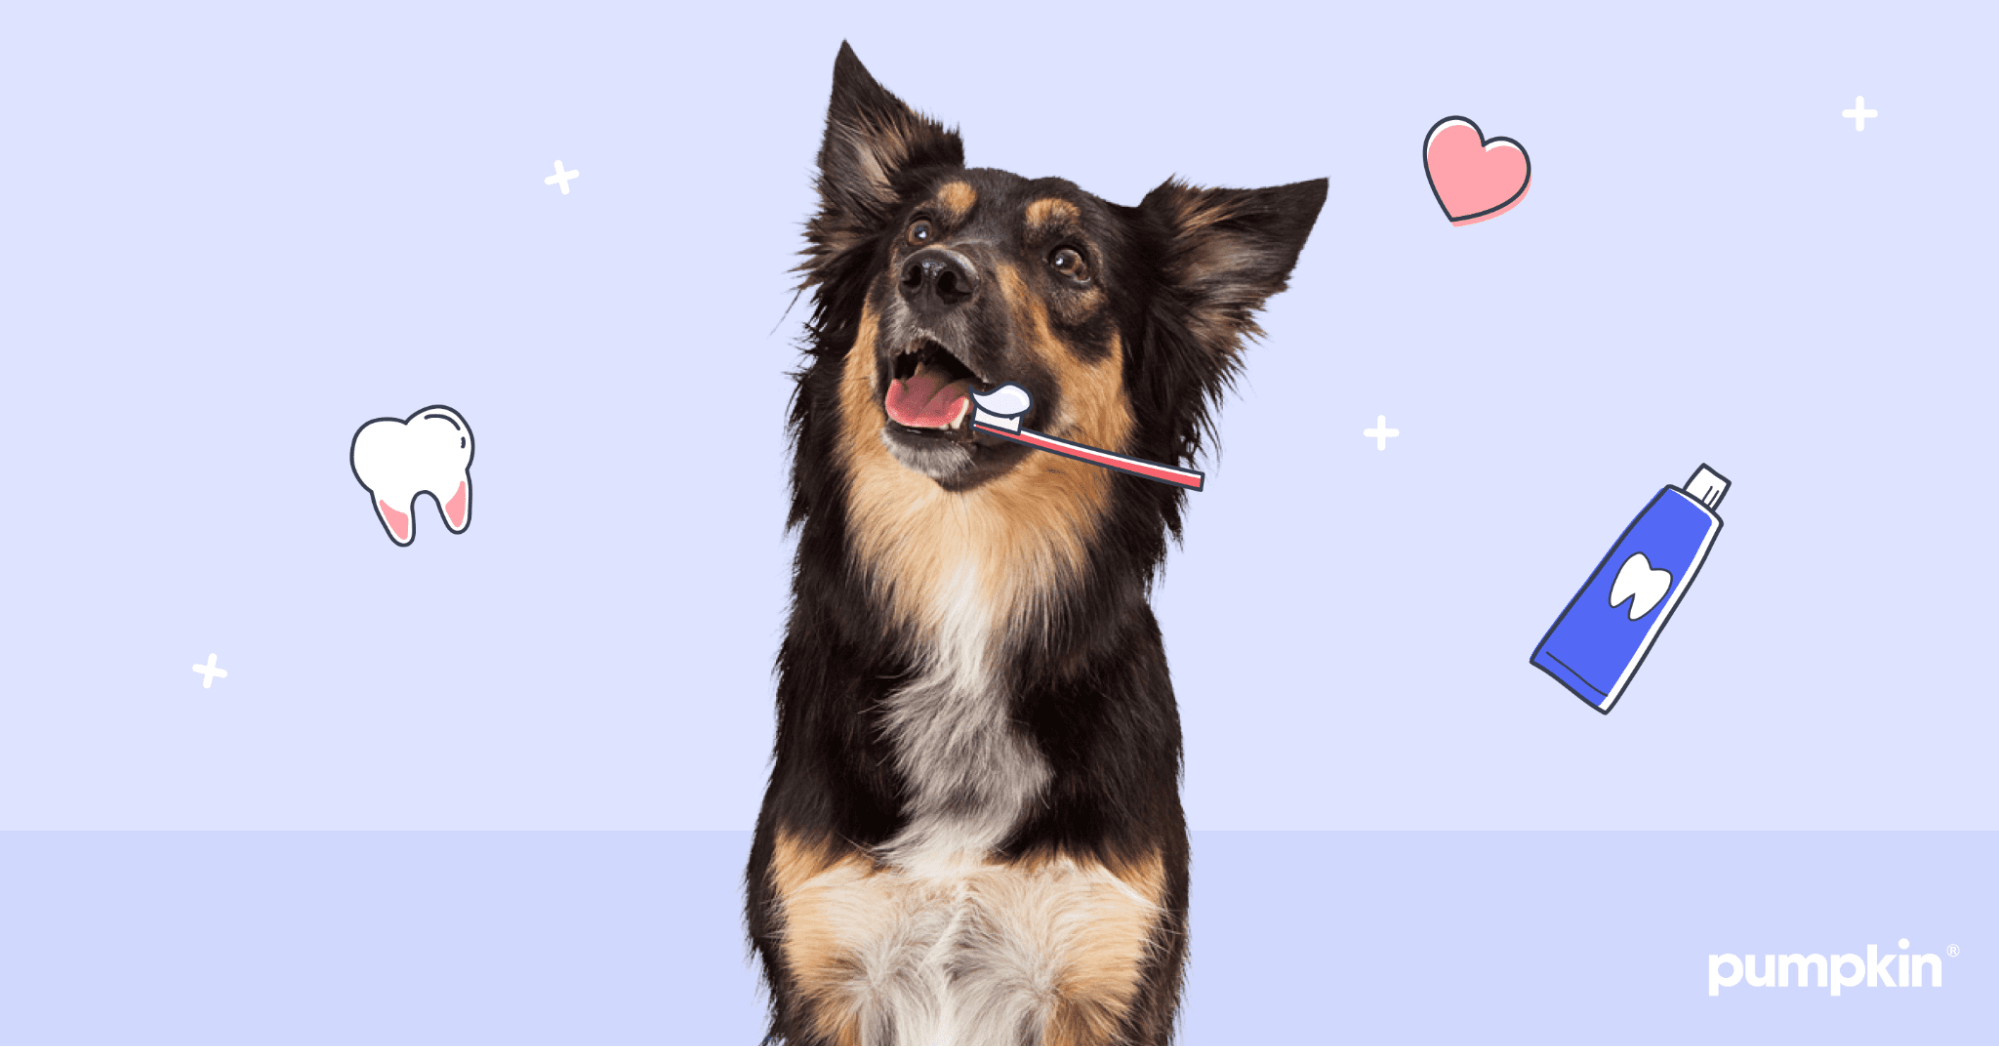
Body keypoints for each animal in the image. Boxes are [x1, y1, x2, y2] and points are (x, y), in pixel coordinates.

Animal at [751, 42, 1327, 1047]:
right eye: (916, 230)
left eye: (1068, 260)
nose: (932, 274)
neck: (968, 575)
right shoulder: (829, 970)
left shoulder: (1098, 970)